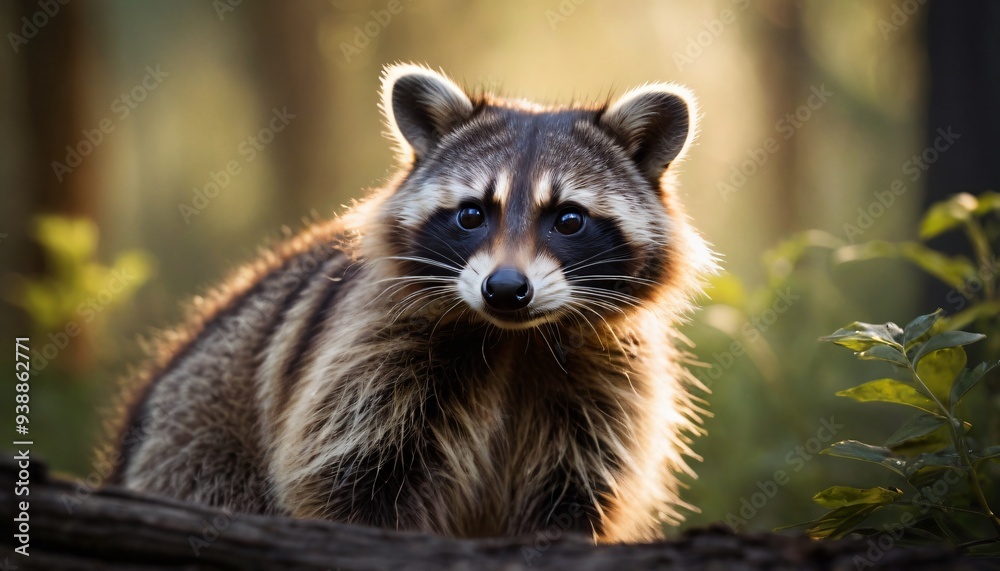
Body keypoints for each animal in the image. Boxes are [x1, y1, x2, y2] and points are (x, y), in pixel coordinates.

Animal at [109, 63, 715, 543]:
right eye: (472, 214)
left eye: (569, 219)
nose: (505, 289)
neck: (511, 339)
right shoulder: (366, 354)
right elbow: (348, 478)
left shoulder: (608, 379)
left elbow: (575, 491)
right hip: (193, 443)